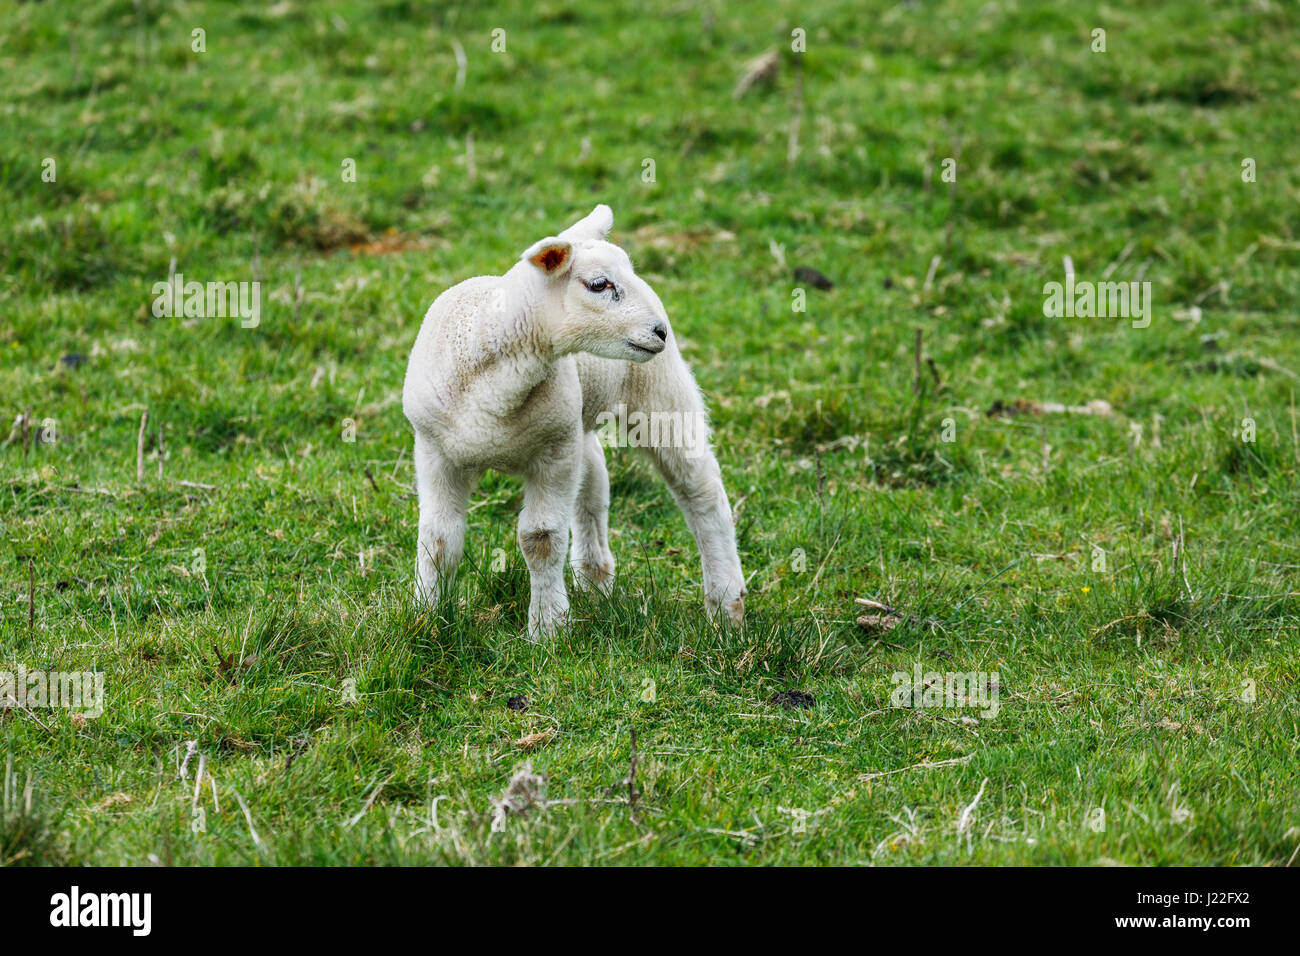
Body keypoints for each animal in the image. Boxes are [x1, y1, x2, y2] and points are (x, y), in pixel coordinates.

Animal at [400, 202, 748, 639]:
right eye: (599, 285)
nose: (660, 331)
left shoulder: (555, 453)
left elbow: (541, 539)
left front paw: (547, 627)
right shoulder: (434, 452)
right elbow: (439, 540)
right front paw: (426, 616)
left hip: (660, 395)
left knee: (702, 493)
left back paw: (726, 604)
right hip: (580, 422)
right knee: (595, 479)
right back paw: (597, 581)